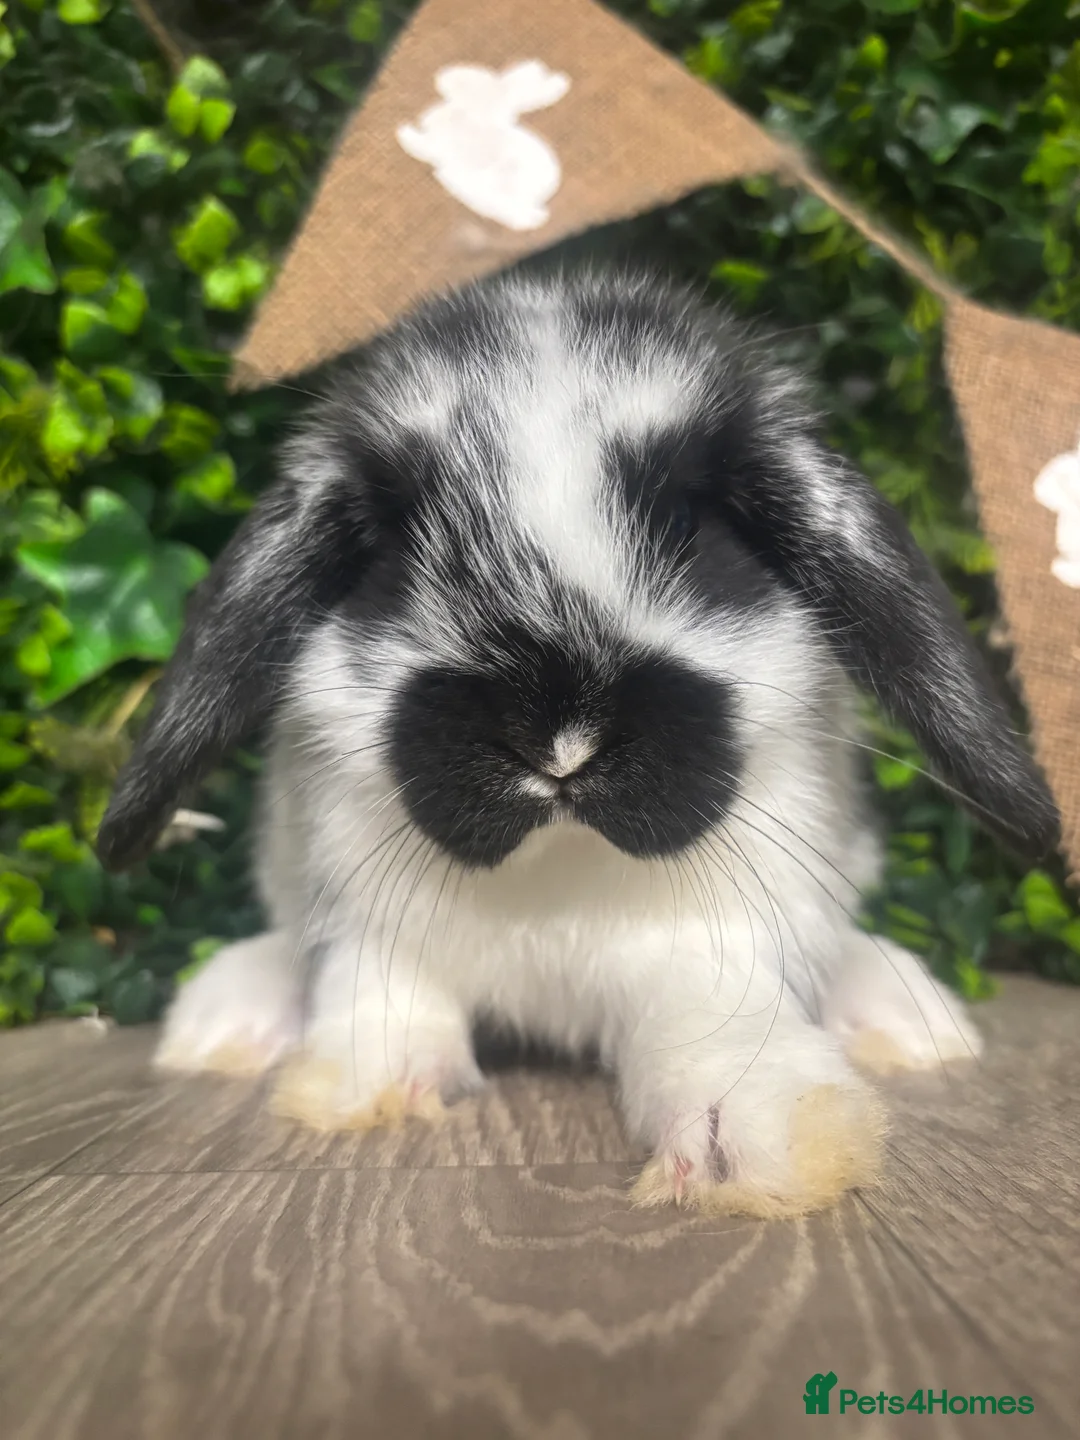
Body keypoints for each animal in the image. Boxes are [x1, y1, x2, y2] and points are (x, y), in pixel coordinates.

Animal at [97, 269, 1058, 1218]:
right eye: (398, 554)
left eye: (697, 531)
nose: (559, 743)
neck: (556, 870)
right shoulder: (366, 915)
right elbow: (379, 994)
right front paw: (368, 1083)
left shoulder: (719, 940)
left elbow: (717, 1024)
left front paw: (761, 1139)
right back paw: (227, 1018)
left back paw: (908, 1016)